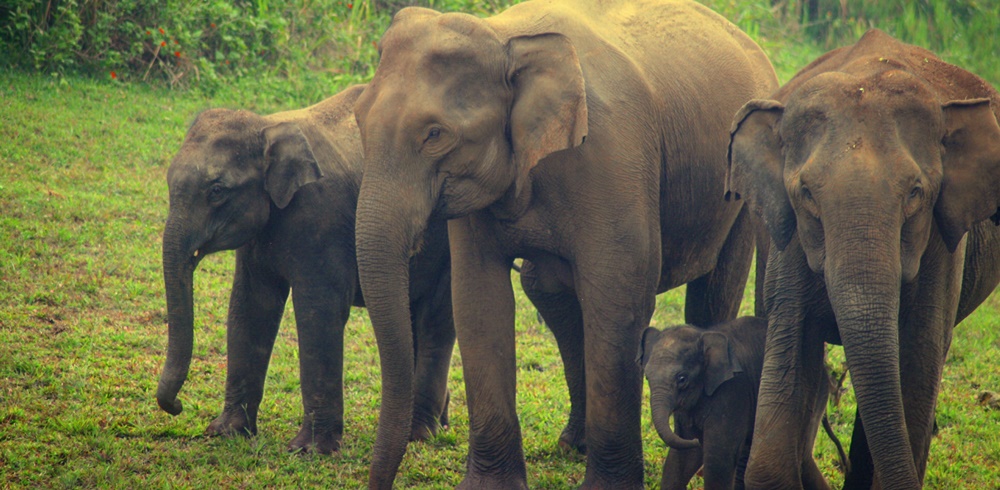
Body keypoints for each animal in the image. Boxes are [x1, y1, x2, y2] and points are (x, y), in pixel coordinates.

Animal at [156, 85, 454, 456]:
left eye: (217, 191)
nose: (177, 407)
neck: (267, 126)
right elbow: (250, 308)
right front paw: (225, 432)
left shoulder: (321, 218)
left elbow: (318, 313)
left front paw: (309, 450)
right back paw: (438, 425)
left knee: (435, 322)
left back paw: (419, 434)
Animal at [352, 0, 780, 486]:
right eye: (358, 118)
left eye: (435, 134)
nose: (382, 479)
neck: (504, 37)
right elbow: (479, 300)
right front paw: (490, 485)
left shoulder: (612, 156)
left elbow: (619, 297)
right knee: (549, 292)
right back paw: (574, 444)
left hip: (736, 187)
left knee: (714, 290)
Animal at [636, 318, 832, 490]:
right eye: (647, 377)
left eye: (682, 379)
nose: (697, 440)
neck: (704, 335)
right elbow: (682, 458)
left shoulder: (733, 392)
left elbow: (719, 459)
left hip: (815, 394)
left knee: (802, 457)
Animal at [728, 28, 1000, 488]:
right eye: (806, 193)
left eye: (915, 192)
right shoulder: (791, 242)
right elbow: (791, 347)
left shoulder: (942, 246)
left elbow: (919, 357)